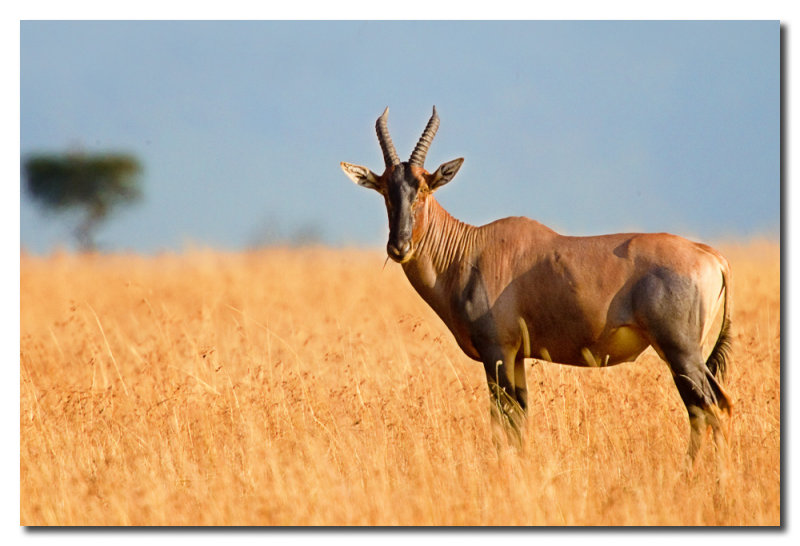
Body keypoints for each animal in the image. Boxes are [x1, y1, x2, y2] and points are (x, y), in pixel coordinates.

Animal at [338, 107, 732, 460]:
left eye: (422, 188)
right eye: (384, 188)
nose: (399, 247)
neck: (471, 248)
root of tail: (712, 256)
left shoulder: (496, 351)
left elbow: (502, 419)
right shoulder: (516, 356)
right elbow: (520, 418)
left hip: (680, 351)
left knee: (712, 407)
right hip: (684, 355)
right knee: (707, 408)